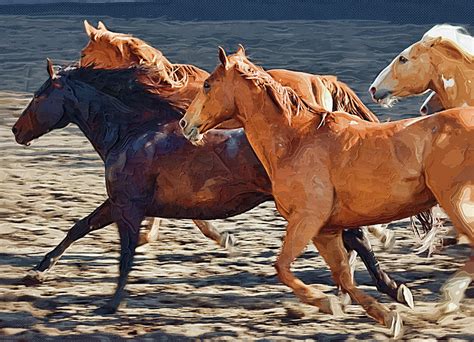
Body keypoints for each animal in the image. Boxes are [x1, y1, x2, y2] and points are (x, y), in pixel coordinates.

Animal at [11, 60, 412, 316]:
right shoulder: (118, 203)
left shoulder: (129, 207)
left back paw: (387, 290)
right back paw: (384, 290)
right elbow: (77, 229)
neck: (132, 131)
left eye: (39, 96)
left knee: (356, 239)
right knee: (354, 239)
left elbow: (125, 255)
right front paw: (36, 272)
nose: (15, 130)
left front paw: (110, 304)